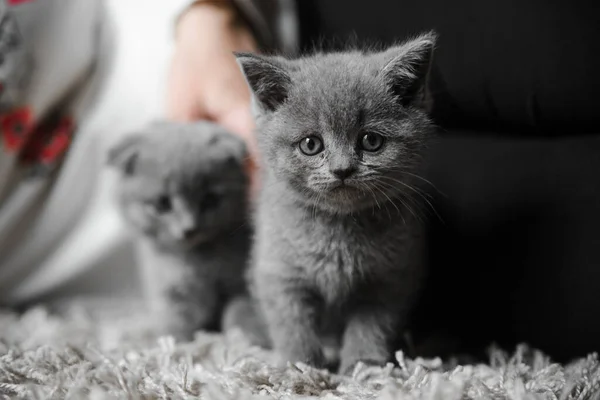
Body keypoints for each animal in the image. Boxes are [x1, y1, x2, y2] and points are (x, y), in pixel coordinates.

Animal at [106, 122, 250, 340]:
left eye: (210, 200)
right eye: (163, 204)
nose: (189, 228)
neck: (197, 262)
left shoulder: (240, 284)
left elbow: (239, 312)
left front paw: (247, 338)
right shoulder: (170, 294)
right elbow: (176, 325)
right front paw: (175, 343)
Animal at [233, 32, 436, 374]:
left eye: (371, 141)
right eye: (310, 144)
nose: (342, 169)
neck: (338, 231)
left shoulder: (390, 279)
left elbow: (372, 324)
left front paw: (364, 366)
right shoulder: (280, 272)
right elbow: (291, 322)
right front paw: (299, 366)